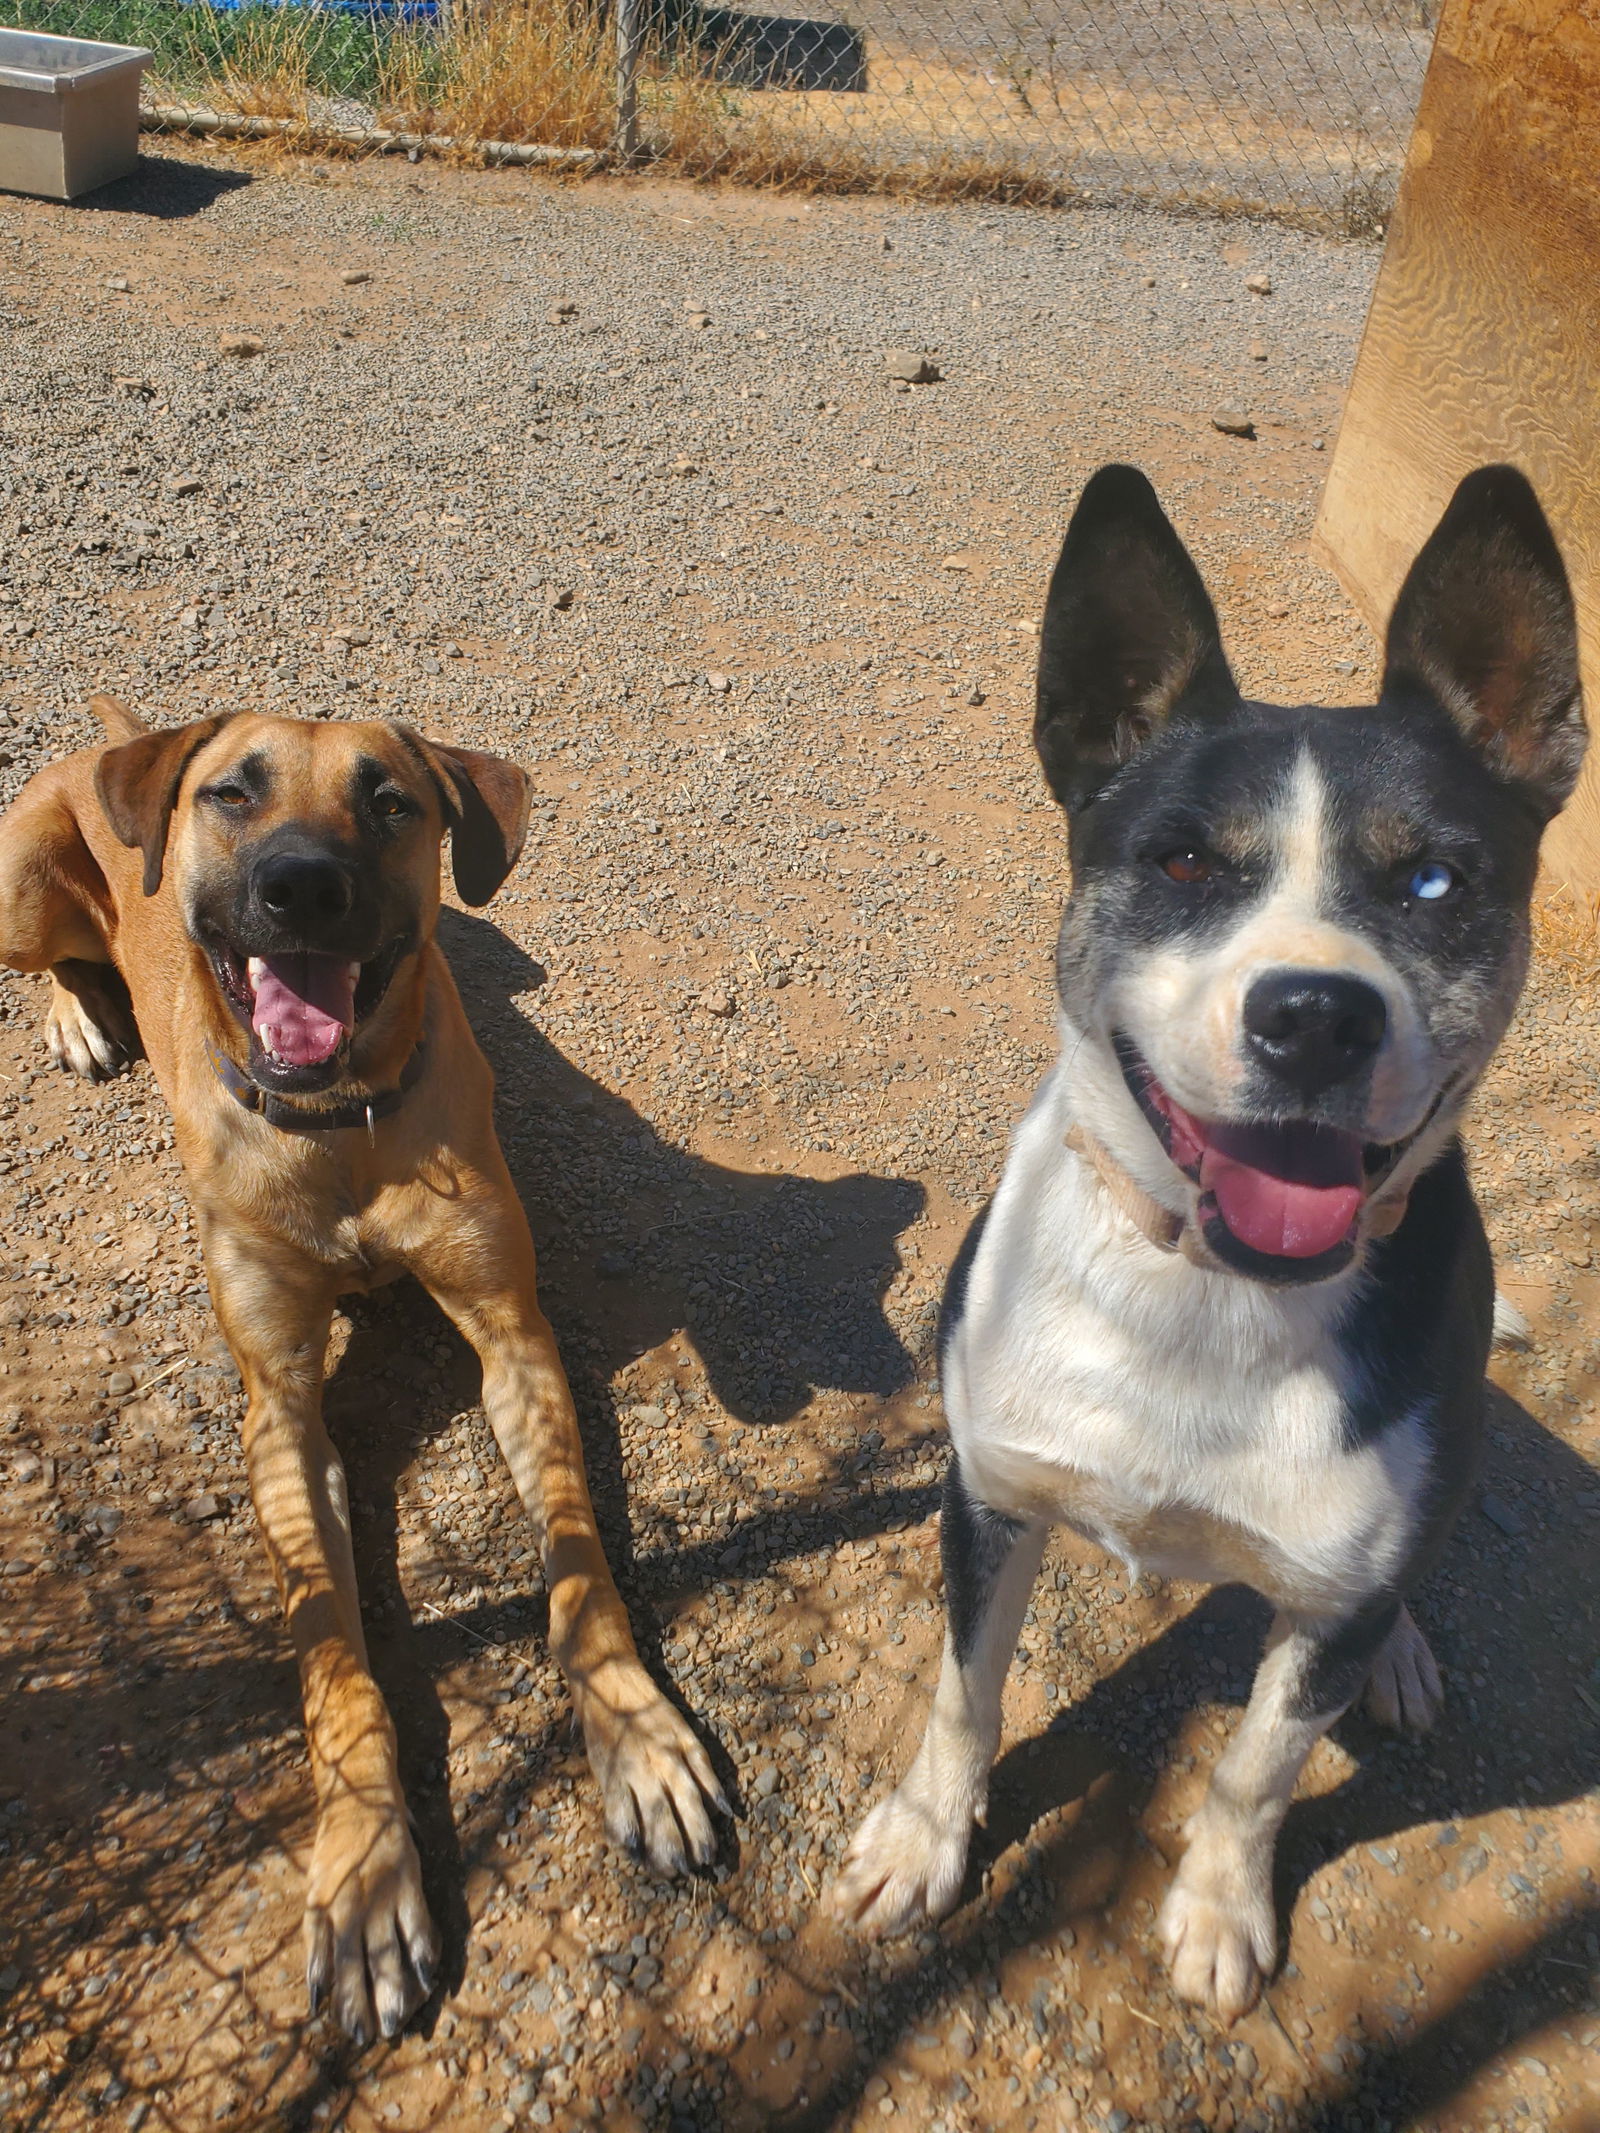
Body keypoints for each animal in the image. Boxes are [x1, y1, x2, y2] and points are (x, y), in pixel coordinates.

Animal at [0, 695, 725, 2030]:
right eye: (232, 793)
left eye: (389, 802)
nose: (300, 887)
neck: (343, 1125)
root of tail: (128, 733)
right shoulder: (280, 1409)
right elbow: (331, 1651)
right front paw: (365, 1873)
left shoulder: (514, 1337)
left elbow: (579, 1570)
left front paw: (640, 1739)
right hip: (21, 884)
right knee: (45, 962)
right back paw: (78, 1012)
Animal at [832, 462, 1587, 2013]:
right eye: (1181, 863)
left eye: (1434, 883)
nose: (1315, 1014)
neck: (1208, 1301)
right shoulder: (987, 1495)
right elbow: (963, 1693)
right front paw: (926, 1840)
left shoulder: (1323, 1607)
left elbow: (1255, 1767)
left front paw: (1220, 1912)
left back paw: (1401, 1656)